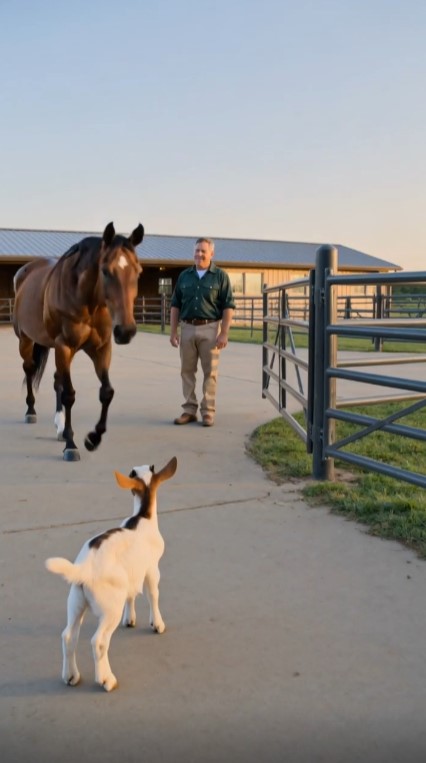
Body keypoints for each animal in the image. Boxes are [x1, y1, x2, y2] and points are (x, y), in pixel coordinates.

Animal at [13, 222, 144, 461]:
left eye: (138, 272)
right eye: (105, 271)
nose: (126, 331)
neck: (87, 300)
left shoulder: (100, 349)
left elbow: (106, 392)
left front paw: (93, 438)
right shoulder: (65, 346)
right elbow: (69, 395)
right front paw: (71, 445)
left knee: (57, 380)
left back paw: (59, 426)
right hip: (26, 340)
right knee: (29, 369)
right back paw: (31, 411)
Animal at [45, 456, 177, 692]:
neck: (142, 516)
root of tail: (85, 568)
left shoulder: (131, 575)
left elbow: (131, 594)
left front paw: (130, 620)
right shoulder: (152, 568)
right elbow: (153, 595)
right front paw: (157, 624)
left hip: (76, 601)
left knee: (68, 635)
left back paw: (71, 676)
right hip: (109, 608)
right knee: (99, 642)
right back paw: (106, 680)